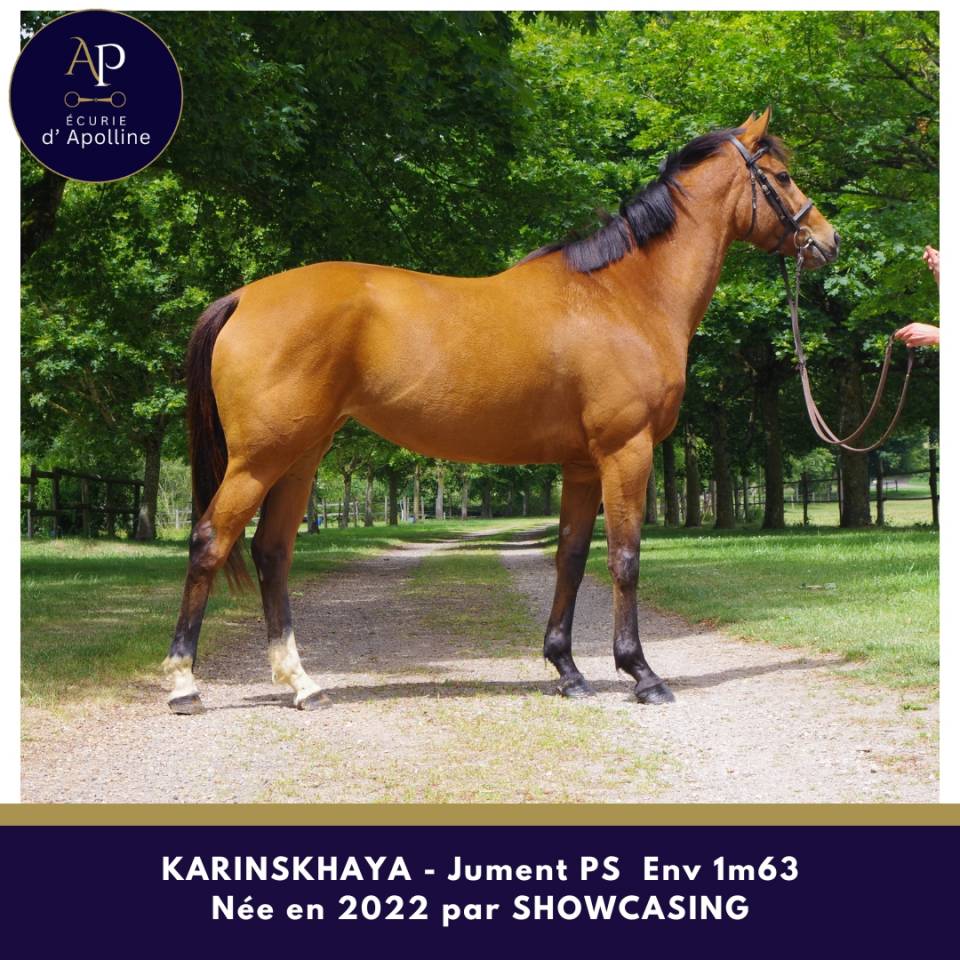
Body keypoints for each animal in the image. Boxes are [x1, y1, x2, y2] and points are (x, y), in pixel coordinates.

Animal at [163, 107, 838, 714]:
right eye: (780, 176)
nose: (826, 241)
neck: (621, 296)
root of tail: (244, 296)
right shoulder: (627, 452)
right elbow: (624, 559)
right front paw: (642, 674)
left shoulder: (582, 465)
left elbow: (570, 558)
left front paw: (567, 670)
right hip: (259, 459)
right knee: (210, 541)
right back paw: (184, 685)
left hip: (301, 454)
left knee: (272, 552)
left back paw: (303, 684)